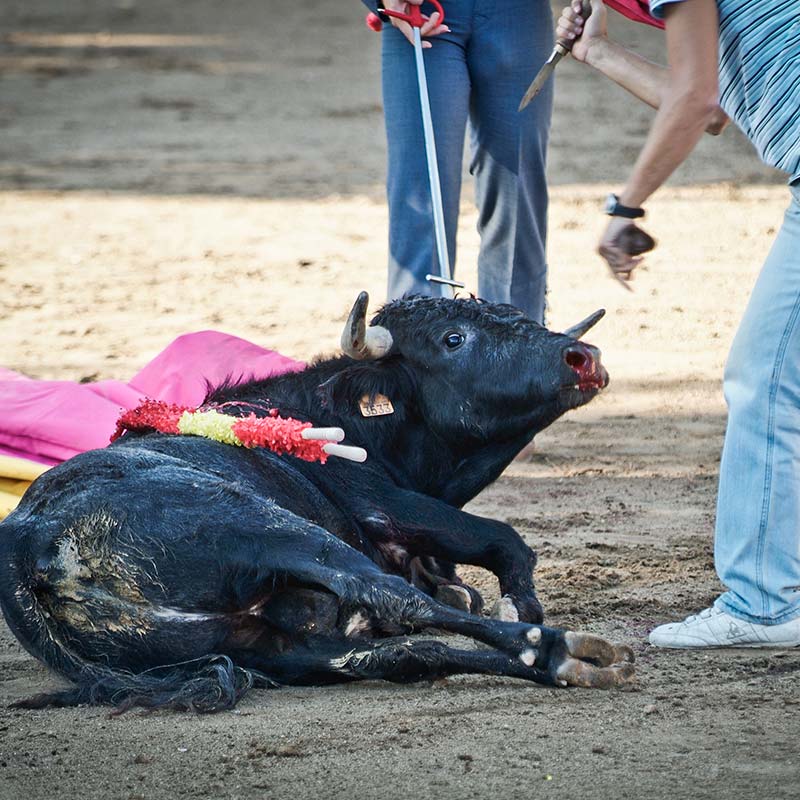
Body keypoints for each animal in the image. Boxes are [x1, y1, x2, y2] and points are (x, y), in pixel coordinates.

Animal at [1, 294, 636, 712]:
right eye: (454, 338)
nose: (583, 357)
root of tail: (28, 540)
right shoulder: (387, 504)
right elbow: (502, 540)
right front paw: (521, 604)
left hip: (263, 647)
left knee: (401, 654)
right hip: (269, 529)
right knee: (392, 596)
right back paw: (562, 651)